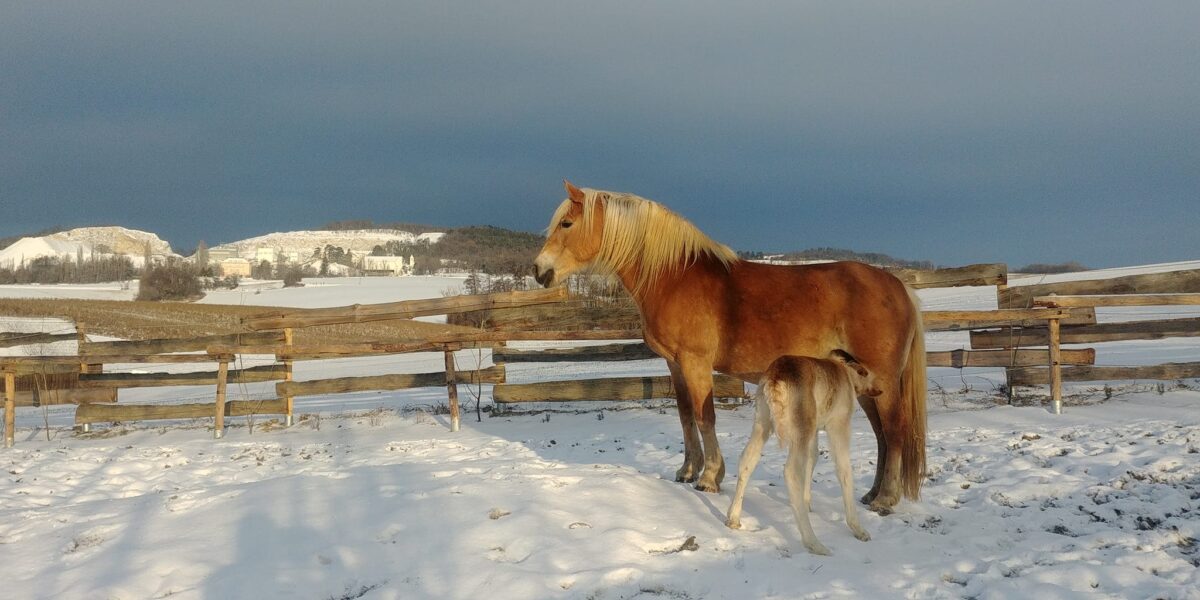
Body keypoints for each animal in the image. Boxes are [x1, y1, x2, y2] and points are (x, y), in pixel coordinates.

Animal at [535, 181, 926, 511]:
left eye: (567, 223)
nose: (540, 271)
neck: (674, 277)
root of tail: (899, 286)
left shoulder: (696, 363)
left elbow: (705, 416)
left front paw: (710, 477)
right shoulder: (675, 364)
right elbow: (685, 415)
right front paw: (687, 470)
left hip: (883, 381)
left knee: (895, 431)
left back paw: (886, 499)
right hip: (864, 383)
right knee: (882, 435)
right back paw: (872, 493)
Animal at [720, 350, 883, 554]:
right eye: (867, 373)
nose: (879, 390)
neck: (846, 373)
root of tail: (776, 376)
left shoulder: (814, 432)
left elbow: (812, 459)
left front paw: (807, 503)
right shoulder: (838, 425)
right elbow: (844, 470)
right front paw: (858, 529)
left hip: (763, 422)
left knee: (747, 460)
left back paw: (733, 517)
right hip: (801, 427)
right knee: (790, 471)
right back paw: (813, 542)